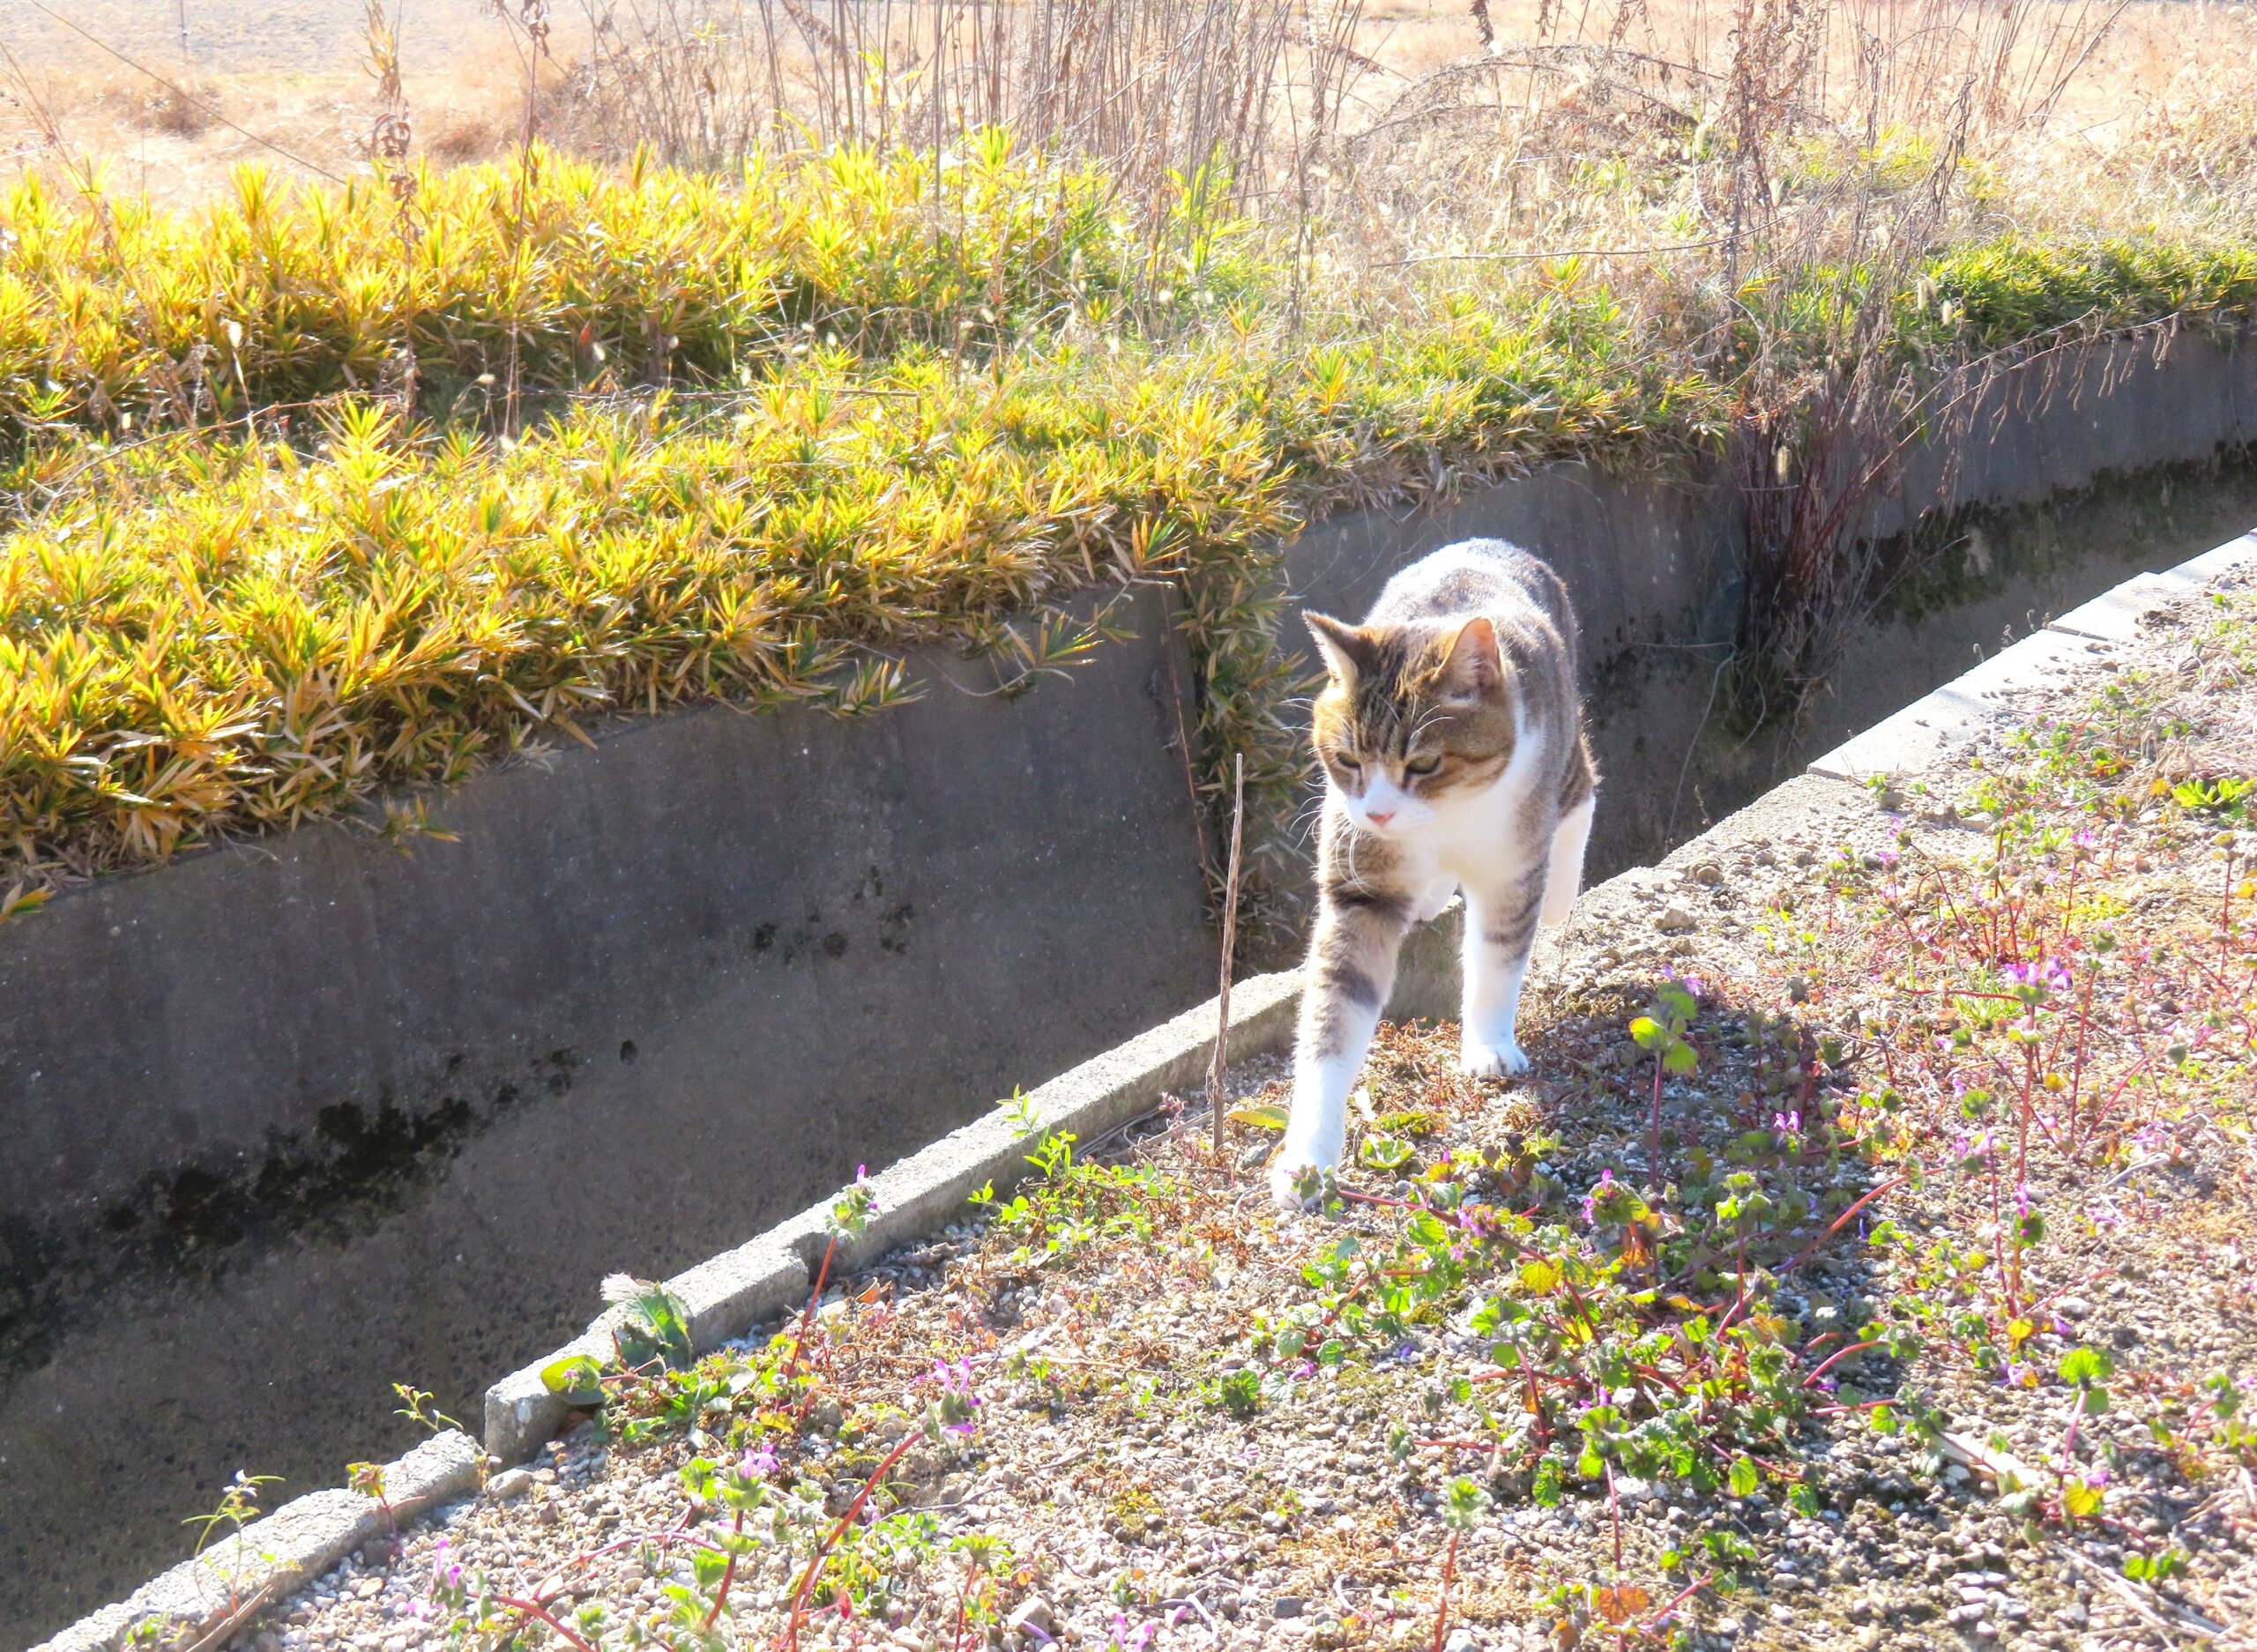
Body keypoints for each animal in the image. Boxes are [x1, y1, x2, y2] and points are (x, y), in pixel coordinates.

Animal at [1272, 541, 1606, 1200]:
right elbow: (1335, 1011)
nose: (1378, 811)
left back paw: (1559, 891)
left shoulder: (1509, 869)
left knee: (1581, 791)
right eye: (1347, 759)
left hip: (1560, 744)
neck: (1442, 819)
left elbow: (1496, 961)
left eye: (1424, 763)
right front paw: (1308, 1154)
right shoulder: (1361, 884)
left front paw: (1490, 1046)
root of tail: (1489, 543)